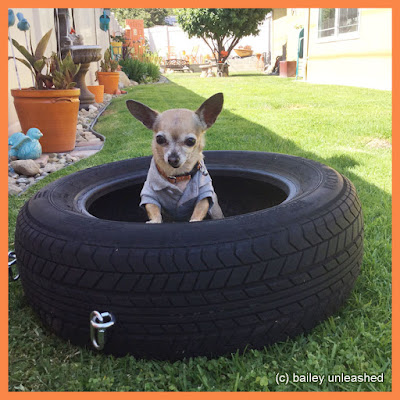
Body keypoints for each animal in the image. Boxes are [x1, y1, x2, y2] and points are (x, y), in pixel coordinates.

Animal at [126, 94, 223, 225]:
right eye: (159, 139)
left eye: (191, 141)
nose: (172, 159)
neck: (178, 176)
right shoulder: (149, 194)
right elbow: (153, 208)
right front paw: (154, 221)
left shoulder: (205, 194)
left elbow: (199, 208)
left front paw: (194, 220)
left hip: (216, 210)